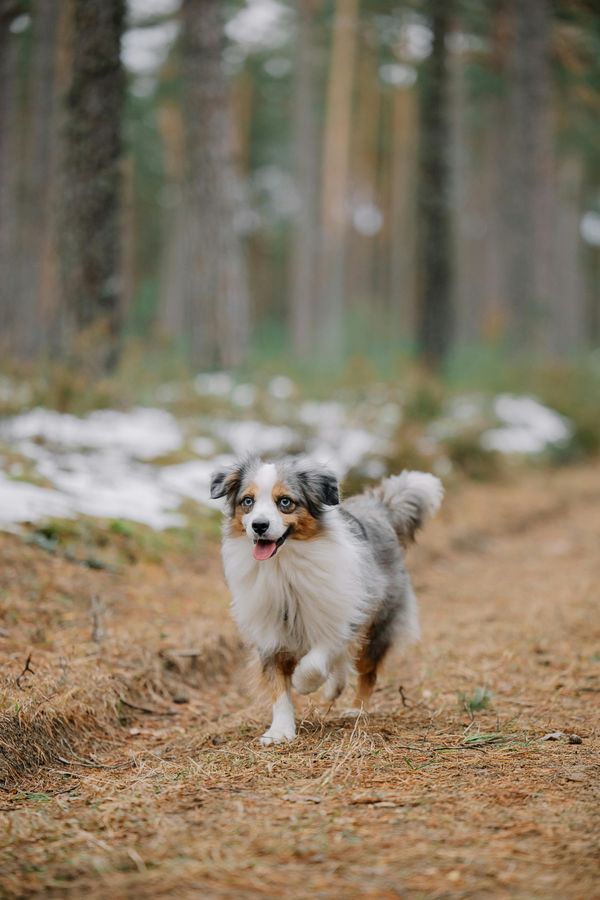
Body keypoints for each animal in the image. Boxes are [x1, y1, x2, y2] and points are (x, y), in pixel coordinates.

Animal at [210, 458, 440, 744]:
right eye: (247, 501)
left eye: (285, 502)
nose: (259, 526)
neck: (283, 566)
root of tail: (379, 508)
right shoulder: (269, 633)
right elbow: (279, 688)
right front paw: (280, 731)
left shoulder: (340, 615)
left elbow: (316, 660)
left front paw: (303, 683)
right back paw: (335, 689)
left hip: (379, 623)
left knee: (367, 670)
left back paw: (356, 709)